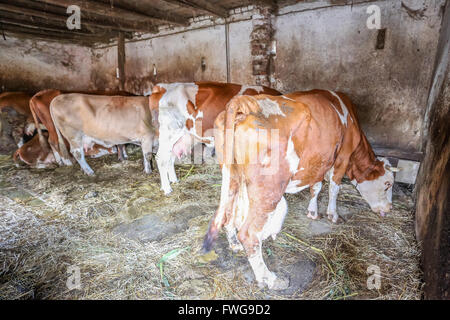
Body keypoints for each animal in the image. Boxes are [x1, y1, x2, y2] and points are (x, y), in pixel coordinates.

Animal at [148, 81, 282, 194]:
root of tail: (164, 87)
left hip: (182, 135)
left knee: (170, 157)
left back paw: (174, 180)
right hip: (169, 132)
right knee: (161, 158)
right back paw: (167, 188)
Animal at [202, 89, 400, 290]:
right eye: (388, 184)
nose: (390, 208)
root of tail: (246, 103)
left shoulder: (319, 160)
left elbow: (317, 186)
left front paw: (313, 211)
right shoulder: (342, 157)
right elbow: (334, 187)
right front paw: (333, 214)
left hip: (232, 175)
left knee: (228, 212)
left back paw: (234, 244)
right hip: (269, 189)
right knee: (249, 234)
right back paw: (269, 278)